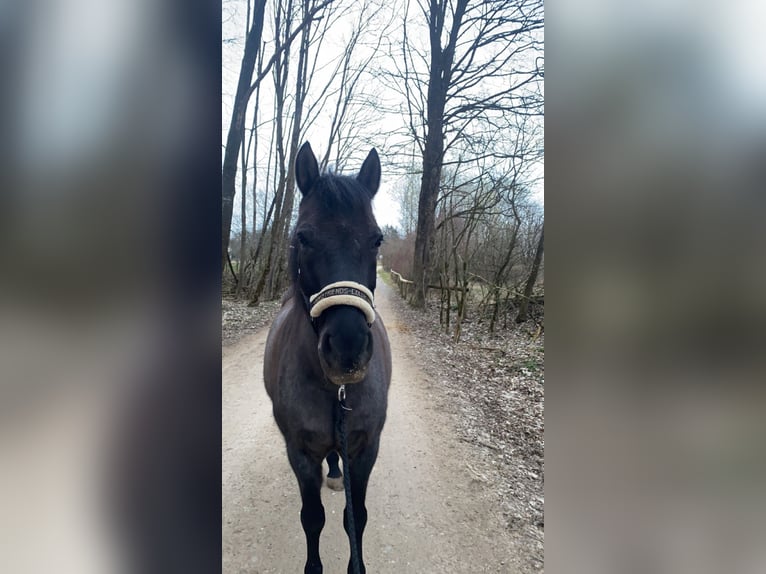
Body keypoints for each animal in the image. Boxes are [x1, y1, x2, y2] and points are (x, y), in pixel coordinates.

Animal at [266, 143, 396, 574]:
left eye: (377, 239)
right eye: (303, 237)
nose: (347, 348)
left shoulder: (366, 449)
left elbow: (357, 517)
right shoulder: (301, 454)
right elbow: (313, 518)